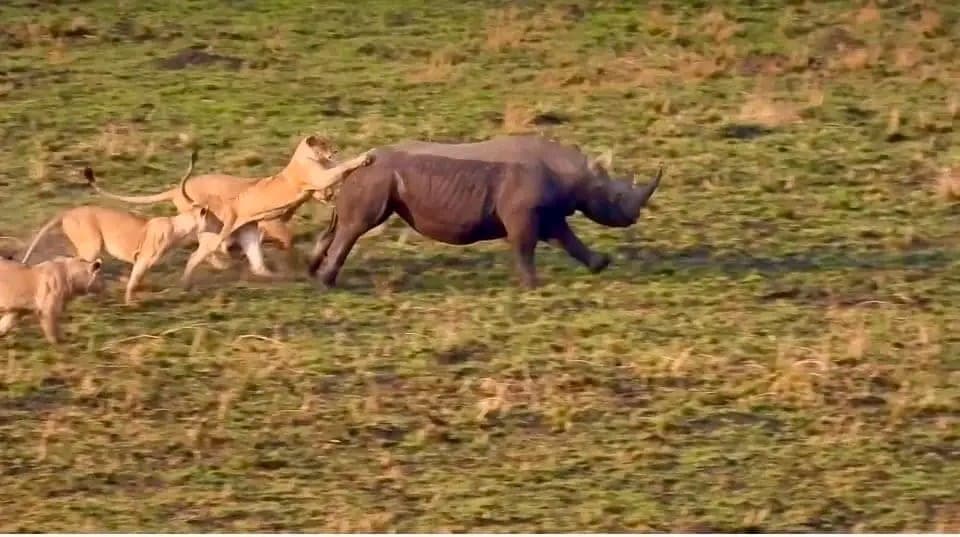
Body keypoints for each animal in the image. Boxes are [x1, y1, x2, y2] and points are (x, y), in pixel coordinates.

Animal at [308, 134, 662, 289]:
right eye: (617, 196)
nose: (634, 218)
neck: (576, 174)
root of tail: (355, 163)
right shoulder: (523, 213)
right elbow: (525, 246)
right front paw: (532, 285)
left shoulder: (547, 212)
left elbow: (567, 239)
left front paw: (600, 265)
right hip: (376, 177)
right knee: (356, 226)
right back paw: (328, 283)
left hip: (372, 177)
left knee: (340, 225)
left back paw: (314, 273)